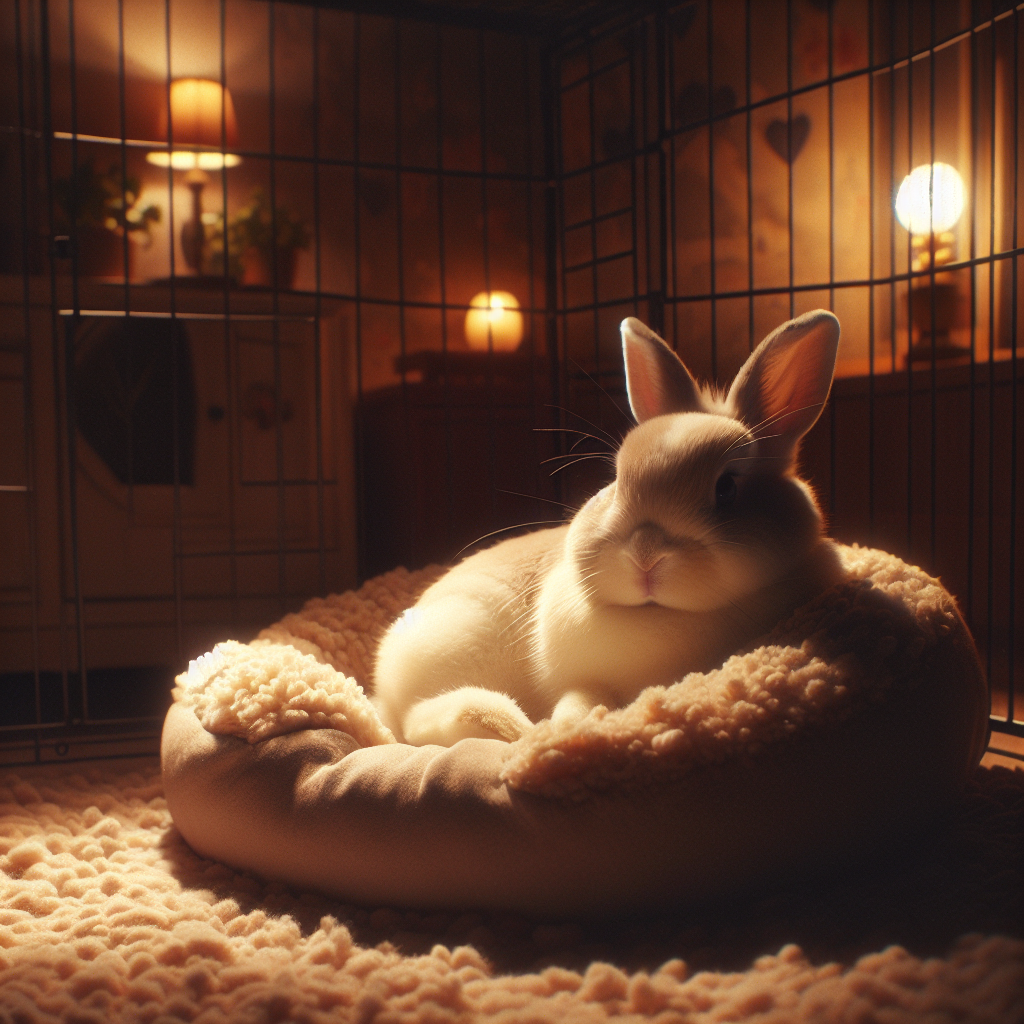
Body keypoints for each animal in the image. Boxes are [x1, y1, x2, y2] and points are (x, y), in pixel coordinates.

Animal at [372, 309, 847, 747]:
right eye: (616, 481)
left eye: (727, 487)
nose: (645, 554)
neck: (660, 617)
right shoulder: (583, 679)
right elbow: (579, 700)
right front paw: (566, 729)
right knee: (414, 720)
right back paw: (503, 726)